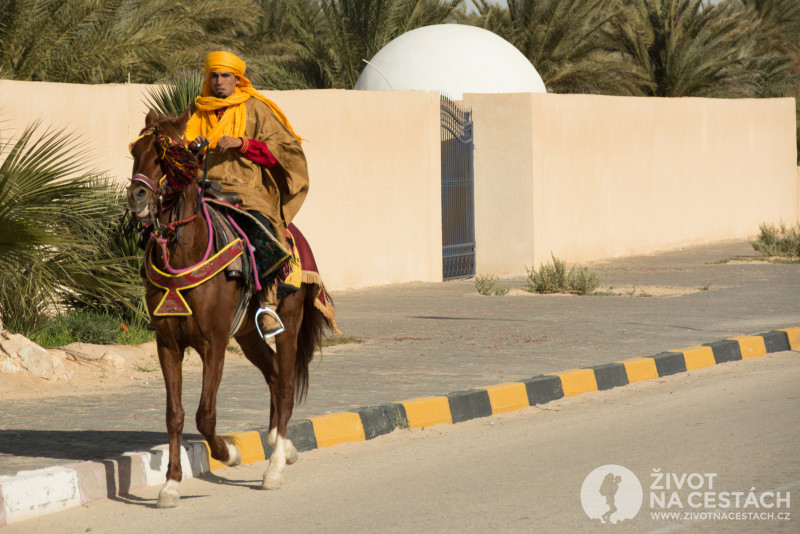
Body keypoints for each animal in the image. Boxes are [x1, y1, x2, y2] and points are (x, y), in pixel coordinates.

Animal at [126, 110, 338, 510]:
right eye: (135, 151)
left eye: (165, 156)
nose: (137, 196)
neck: (187, 250)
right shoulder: (168, 345)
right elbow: (175, 415)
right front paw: (171, 484)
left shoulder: (214, 344)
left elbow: (205, 416)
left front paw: (230, 454)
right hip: (247, 334)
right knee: (273, 374)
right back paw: (282, 446)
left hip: (287, 323)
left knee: (285, 383)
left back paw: (274, 467)